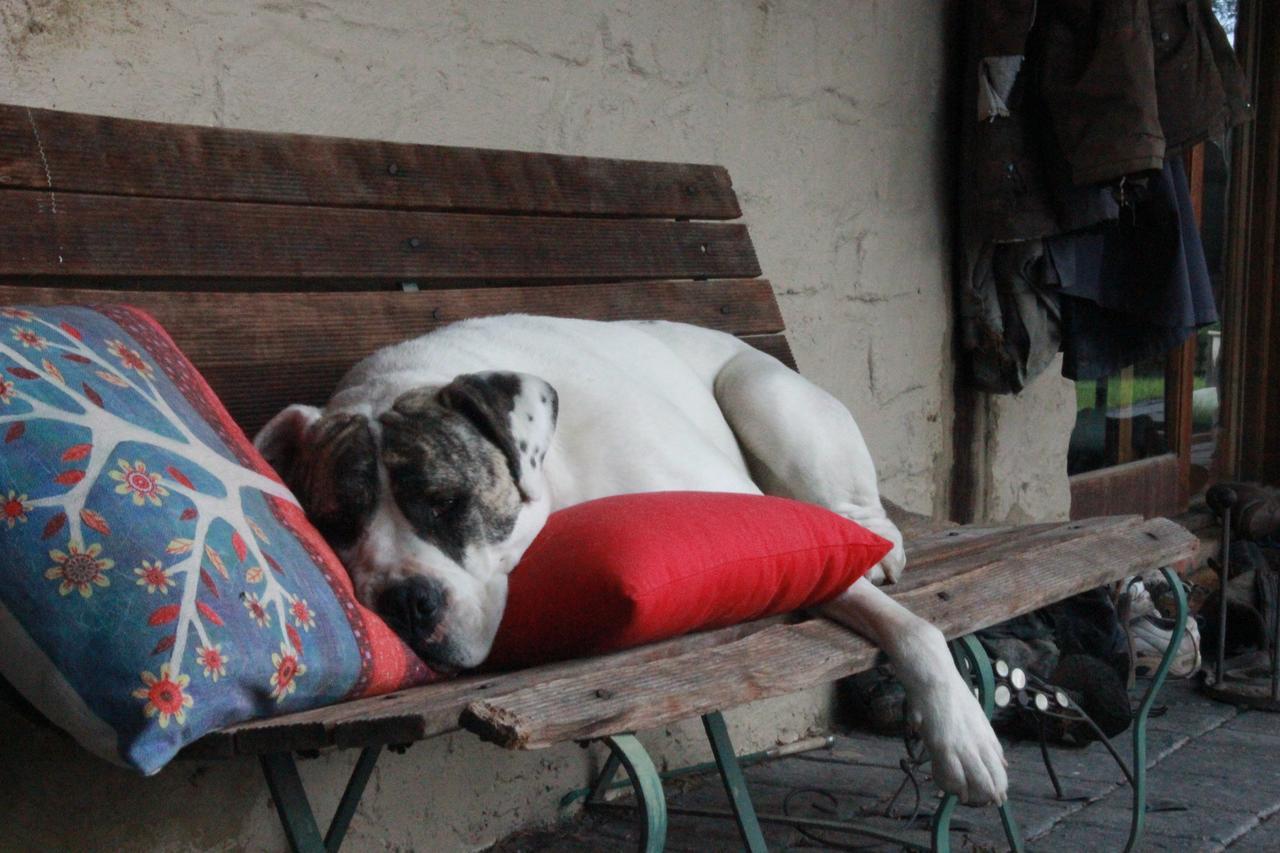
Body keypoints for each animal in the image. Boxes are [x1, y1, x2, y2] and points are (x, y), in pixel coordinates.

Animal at [254, 313, 1003, 804]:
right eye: (334, 524)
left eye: (447, 502)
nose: (404, 599)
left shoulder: (762, 526)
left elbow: (914, 627)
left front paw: (960, 733)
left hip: (764, 396)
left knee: (859, 514)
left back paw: (880, 546)